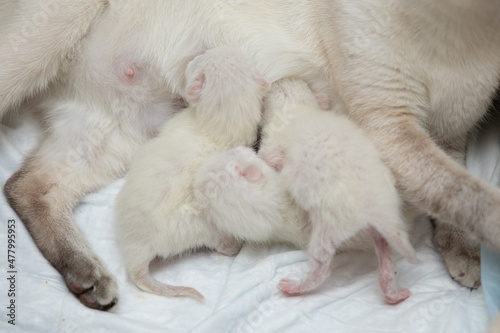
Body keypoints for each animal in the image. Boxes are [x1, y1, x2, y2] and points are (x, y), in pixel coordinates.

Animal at [114, 45, 268, 300]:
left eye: (198, 62)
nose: (199, 53)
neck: (222, 127)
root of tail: (138, 252)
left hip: (197, 225)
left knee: (218, 244)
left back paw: (232, 246)